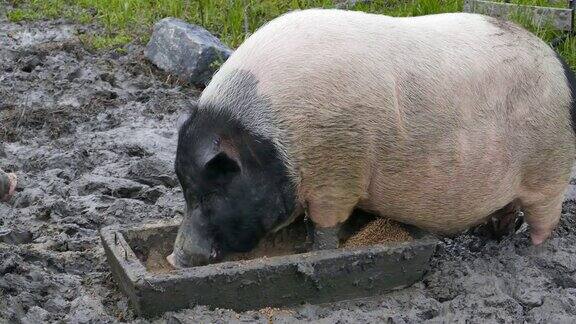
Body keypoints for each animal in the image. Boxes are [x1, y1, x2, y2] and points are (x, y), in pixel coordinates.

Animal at [166, 8, 576, 268]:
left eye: (211, 192)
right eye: (185, 190)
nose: (174, 258)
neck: (275, 141)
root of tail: (561, 67)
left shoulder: (336, 175)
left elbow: (325, 226)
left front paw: (319, 253)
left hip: (551, 172)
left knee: (545, 221)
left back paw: (531, 256)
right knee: (508, 212)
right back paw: (490, 239)